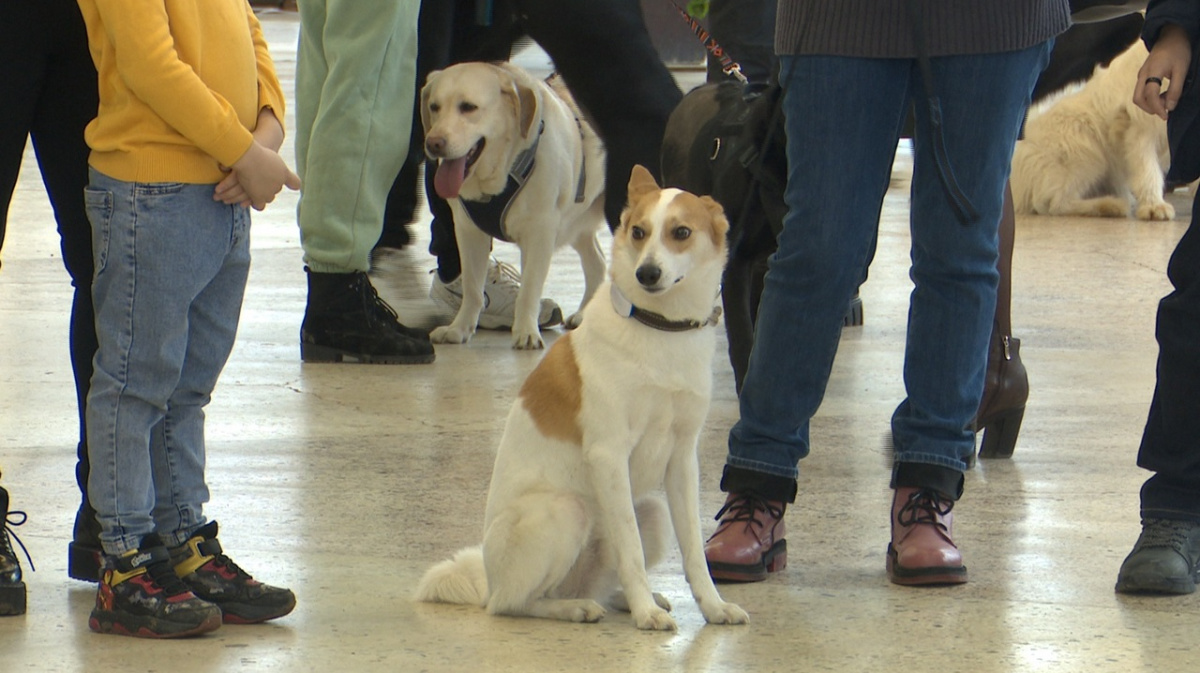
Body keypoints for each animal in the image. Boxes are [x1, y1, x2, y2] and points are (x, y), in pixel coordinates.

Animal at [417, 166, 744, 628]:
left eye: (681, 232)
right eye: (639, 232)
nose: (647, 273)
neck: (659, 327)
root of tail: (486, 576)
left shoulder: (682, 461)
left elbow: (694, 552)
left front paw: (712, 607)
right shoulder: (609, 454)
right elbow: (631, 550)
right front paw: (646, 615)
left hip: (652, 511)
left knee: (603, 582)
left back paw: (623, 598)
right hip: (565, 511)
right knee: (513, 603)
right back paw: (574, 607)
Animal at [422, 61, 609, 352]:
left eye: (468, 107)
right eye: (434, 106)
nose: (434, 143)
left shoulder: (540, 232)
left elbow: (529, 289)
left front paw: (526, 332)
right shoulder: (467, 231)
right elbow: (473, 289)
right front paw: (459, 329)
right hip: (576, 223)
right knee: (598, 263)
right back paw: (585, 315)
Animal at [1012, 39, 1171, 220]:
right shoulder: (1140, 130)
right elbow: (1148, 171)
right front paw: (1154, 206)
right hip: (1087, 153)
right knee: (1056, 203)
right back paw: (1109, 206)